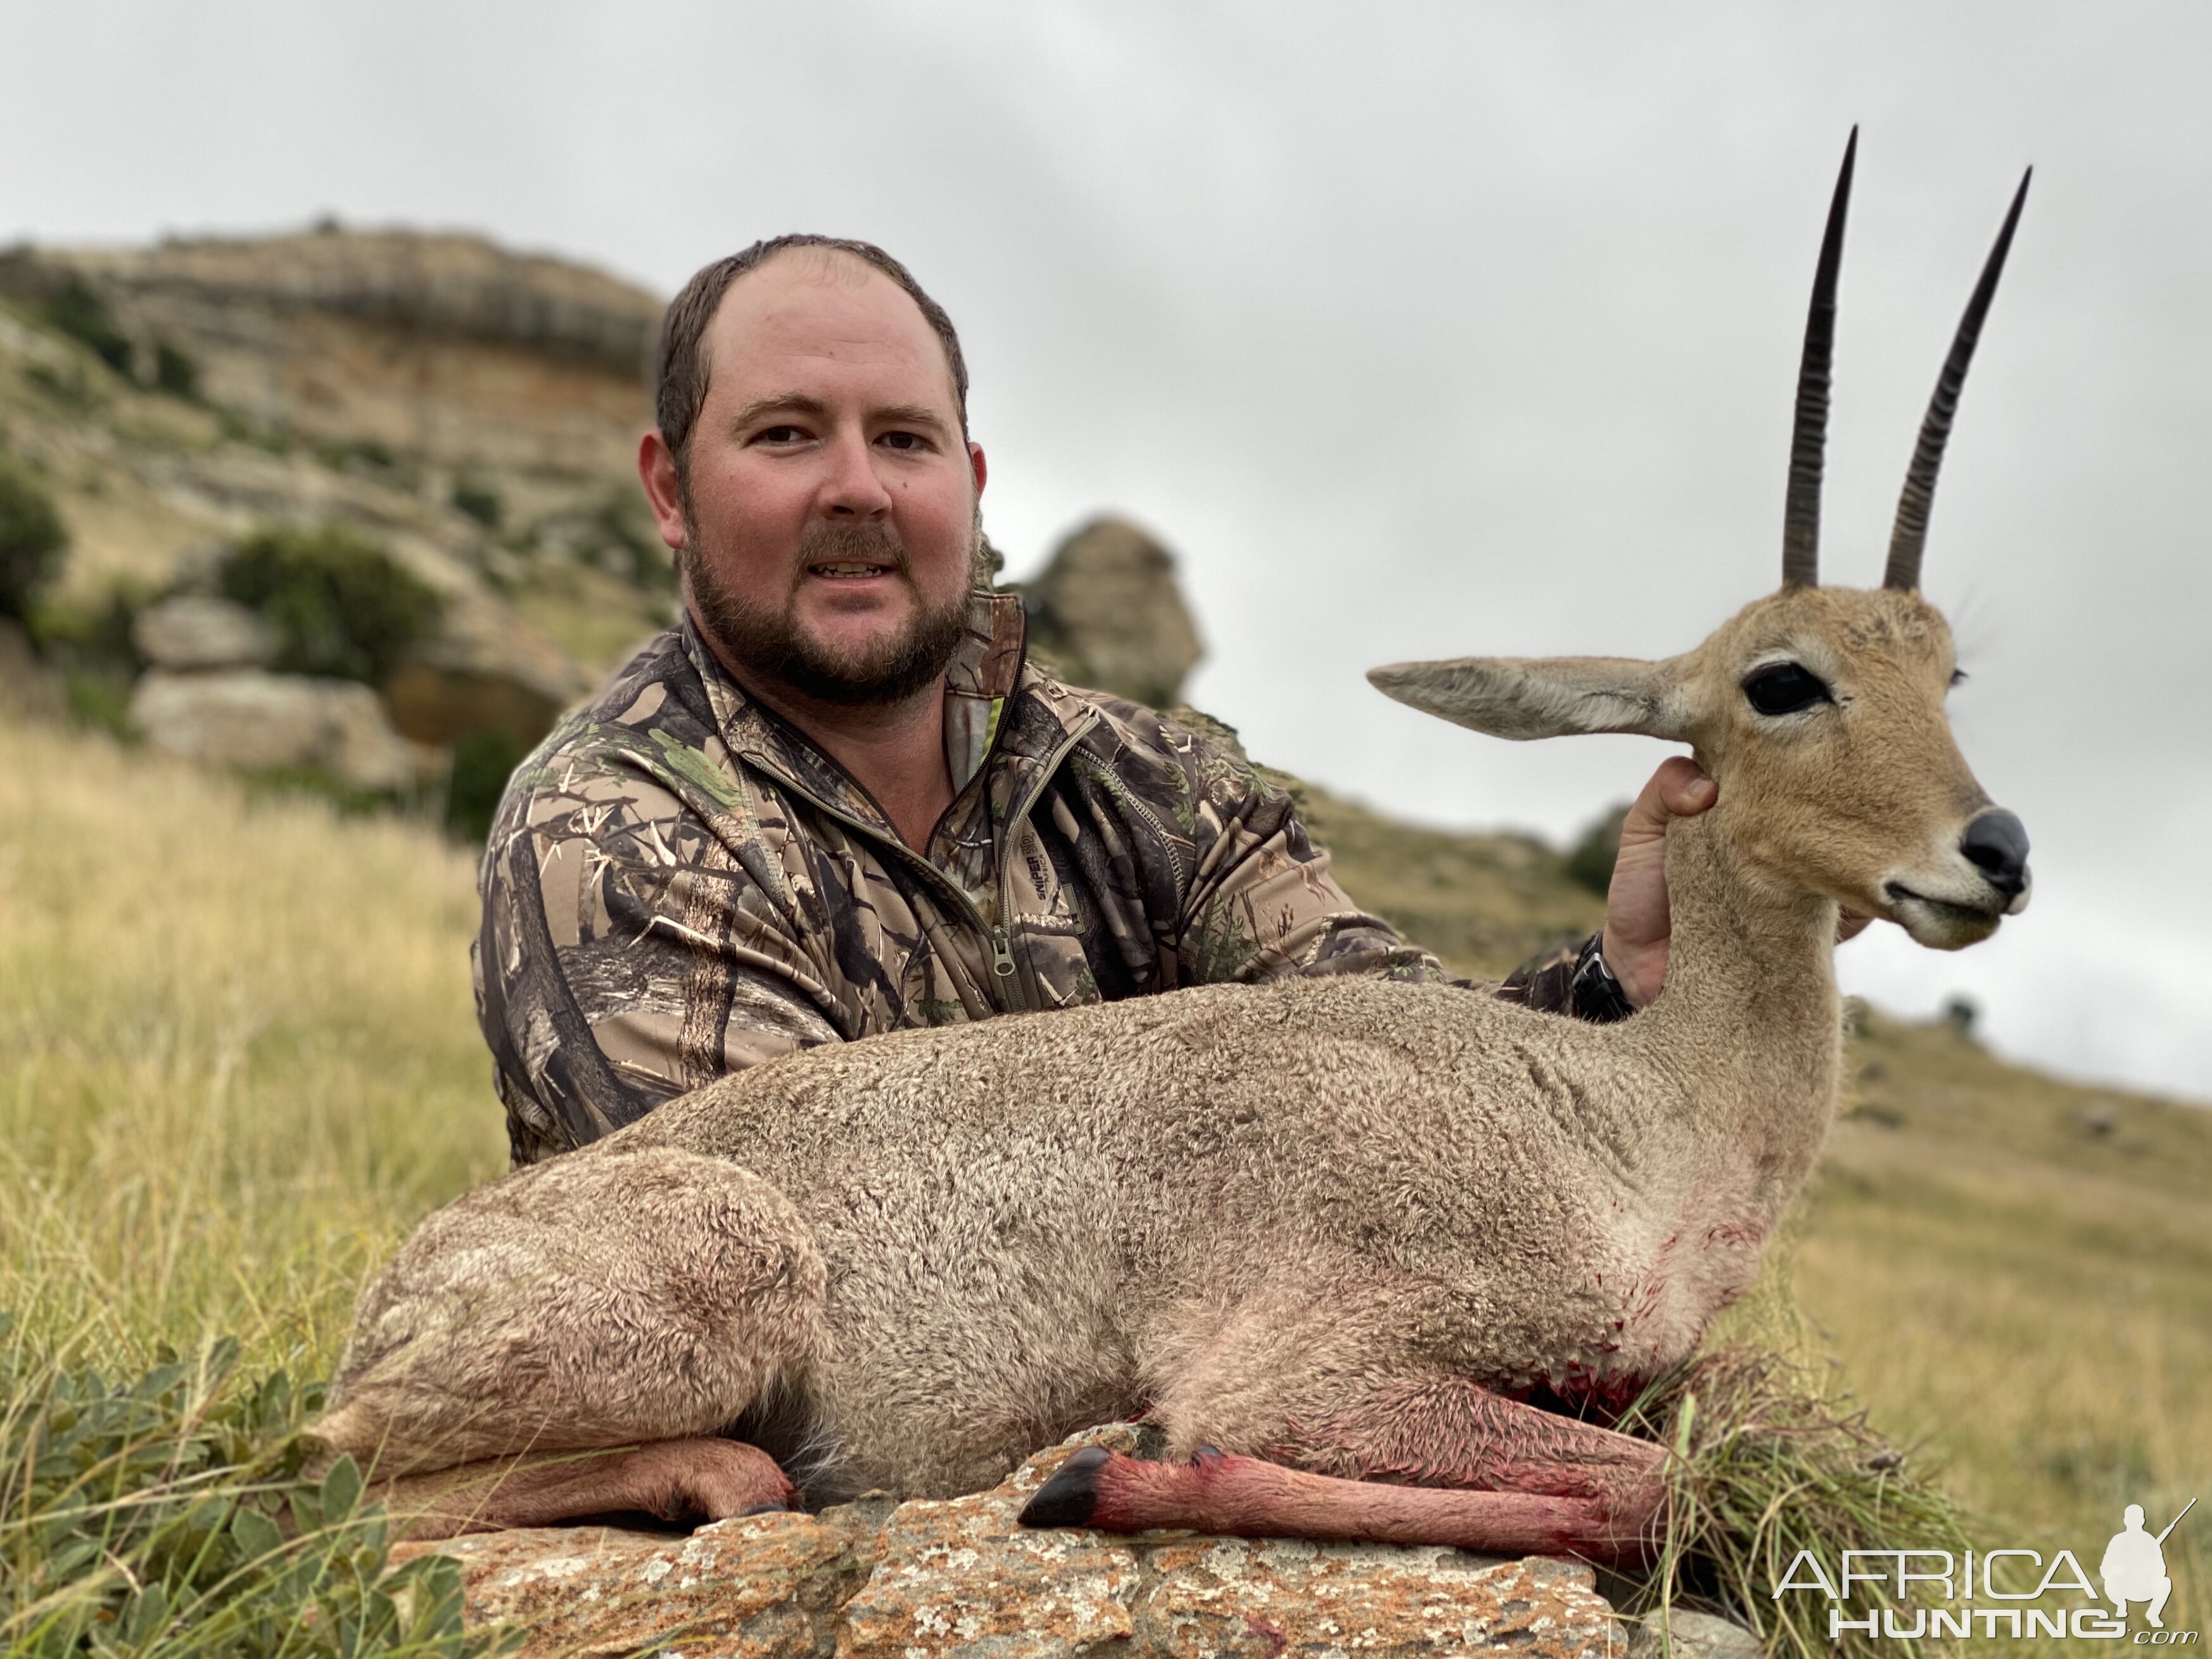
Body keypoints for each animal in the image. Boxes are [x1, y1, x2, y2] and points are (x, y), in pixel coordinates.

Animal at [312, 136, 2035, 1566]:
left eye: (1949, 675)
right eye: (1782, 679)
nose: (1995, 852)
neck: (1632, 1117)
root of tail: (403, 1286)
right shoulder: (1316, 1362)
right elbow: (1653, 1486)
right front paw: (1106, 1472)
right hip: (706, 1290)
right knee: (350, 1472)